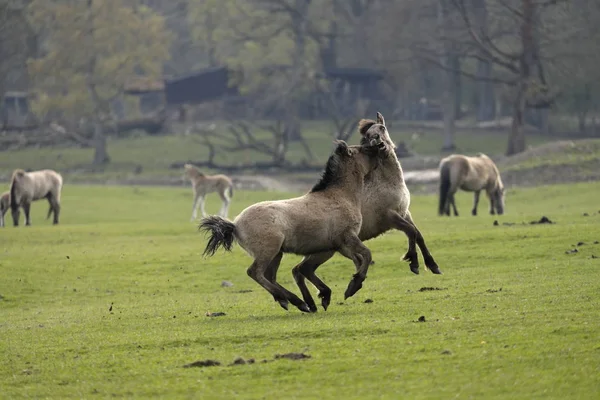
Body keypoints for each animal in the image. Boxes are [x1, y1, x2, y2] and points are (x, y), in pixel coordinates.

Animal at [197, 140, 384, 312]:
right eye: (363, 149)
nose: (379, 145)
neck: (339, 196)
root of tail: (235, 224)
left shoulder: (338, 246)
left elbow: (357, 260)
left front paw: (333, 292)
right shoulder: (347, 238)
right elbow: (366, 255)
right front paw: (352, 286)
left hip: (277, 254)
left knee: (270, 276)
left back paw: (297, 302)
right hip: (269, 250)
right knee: (255, 272)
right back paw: (290, 300)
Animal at [290, 112, 440, 312]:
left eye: (382, 128)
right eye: (368, 135)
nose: (377, 140)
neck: (387, 183)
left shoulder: (405, 213)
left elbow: (418, 235)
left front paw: (432, 265)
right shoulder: (390, 217)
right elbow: (411, 232)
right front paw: (413, 262)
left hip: (325, 251)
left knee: (300, 270)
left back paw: (315, 302)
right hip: (325, 251)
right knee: (301, 270)